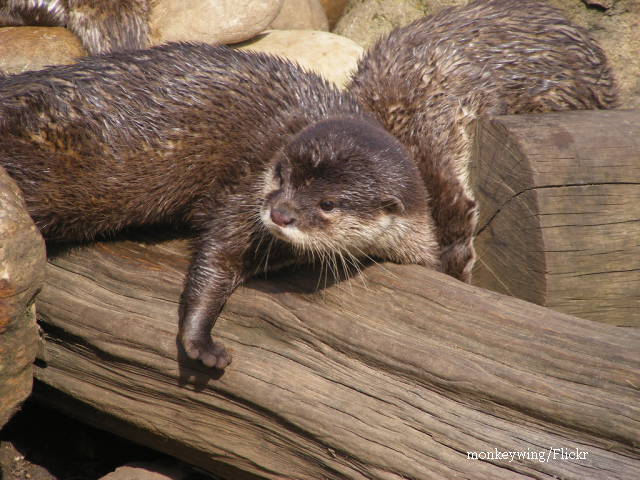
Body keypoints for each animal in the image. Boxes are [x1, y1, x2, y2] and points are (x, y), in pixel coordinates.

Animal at [0, 43, 440, 370]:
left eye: (328, 203)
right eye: (282, 176)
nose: (280, 214)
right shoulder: (246, 195)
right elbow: (217, 255)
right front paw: (201, 343)